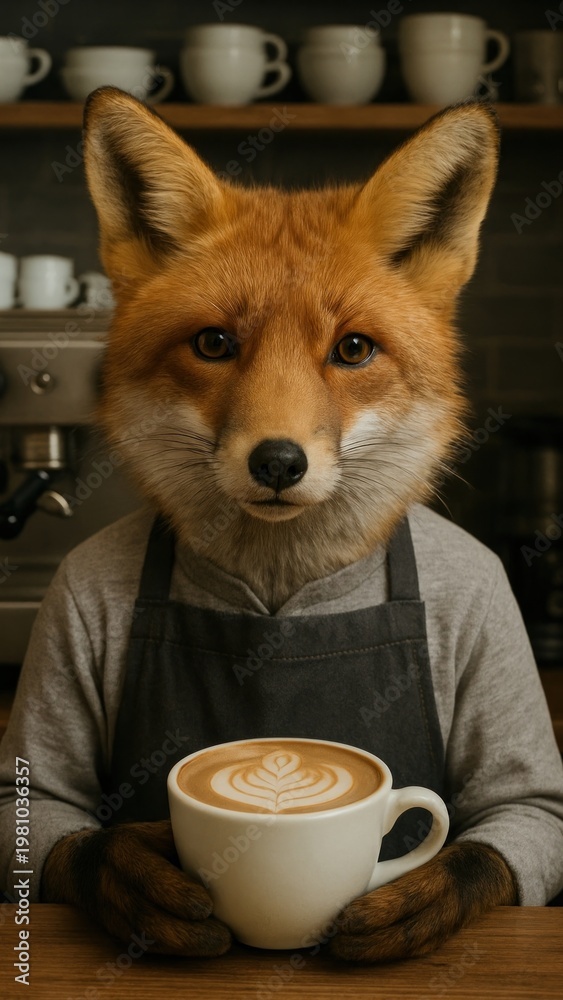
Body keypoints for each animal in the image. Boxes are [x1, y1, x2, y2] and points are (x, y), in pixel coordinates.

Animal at [24, 86, 563, 961]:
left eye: (353, 349)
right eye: (214, 343)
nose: (277, 462)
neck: (280, 589)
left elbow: (498, 832)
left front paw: (411, 906)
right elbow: (63, 820)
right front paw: (137, 882)